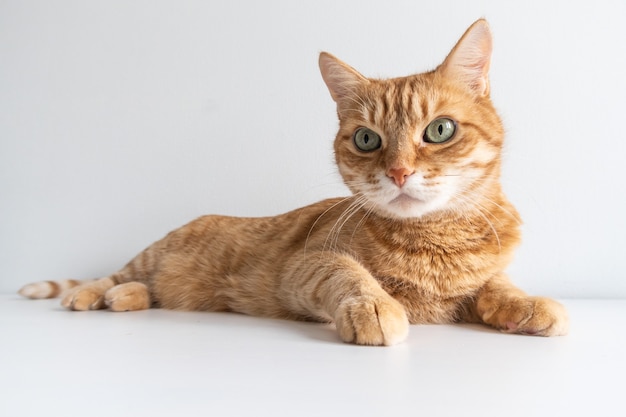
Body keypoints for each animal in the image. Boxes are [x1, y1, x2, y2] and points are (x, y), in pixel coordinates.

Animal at [19, 19, 564, 344]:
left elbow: (496, 285)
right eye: (367, 139)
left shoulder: (478, 280)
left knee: (142, 289)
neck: (436, 243)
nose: (399, 171)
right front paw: (375, 305)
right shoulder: (305, 264)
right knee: (115, 274)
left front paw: (527, 303)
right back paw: (91, 294)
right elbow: (347, 273)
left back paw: (124, 300)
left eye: (440, 130)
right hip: (154, 256)